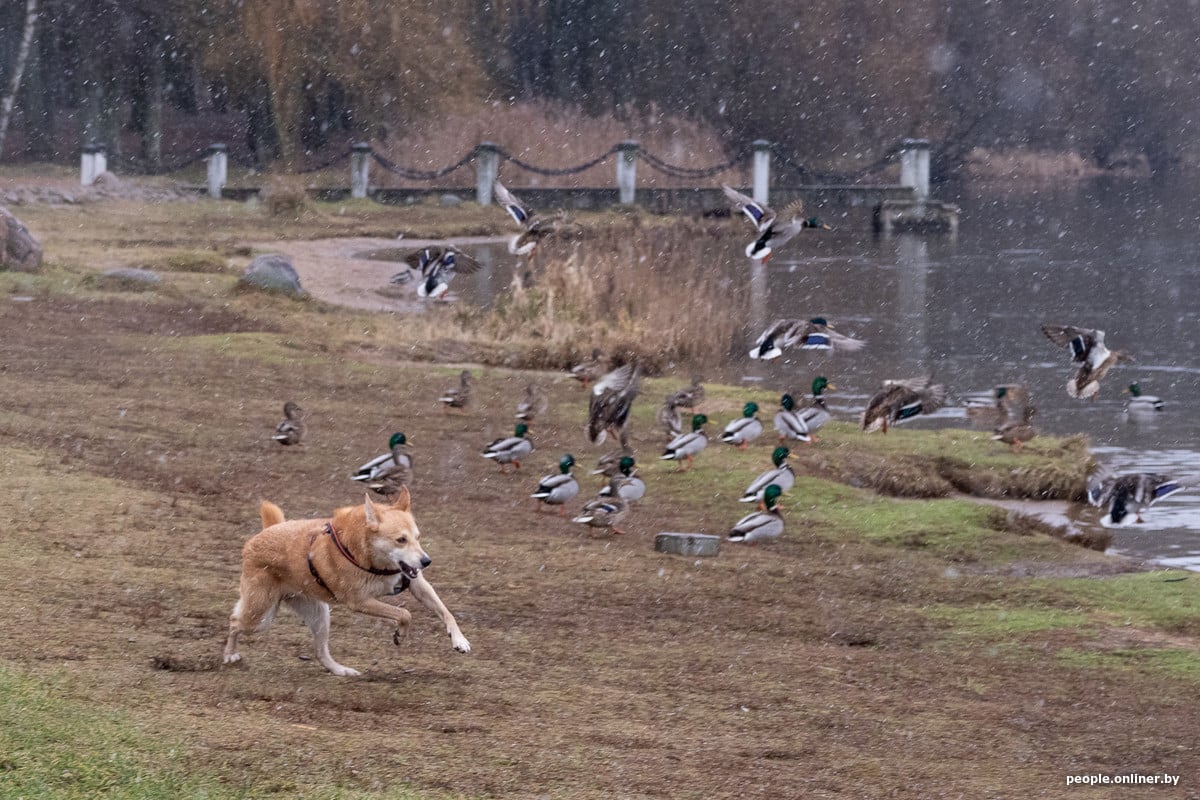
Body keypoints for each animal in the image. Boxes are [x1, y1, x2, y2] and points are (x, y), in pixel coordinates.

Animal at [223, 487, 471, 676]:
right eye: (401, 540)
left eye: (417, 538)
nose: (426, 561)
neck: (374, 561)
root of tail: (263, 534)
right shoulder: (360, 601)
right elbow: (404, 613)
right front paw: (400, 634)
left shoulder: (415, 581)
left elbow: (445, 611)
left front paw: (459, 640)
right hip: (260, 615)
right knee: (234, 622)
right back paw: (229, 654)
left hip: (319, 614)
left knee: (321, 652)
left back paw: (341, 670)